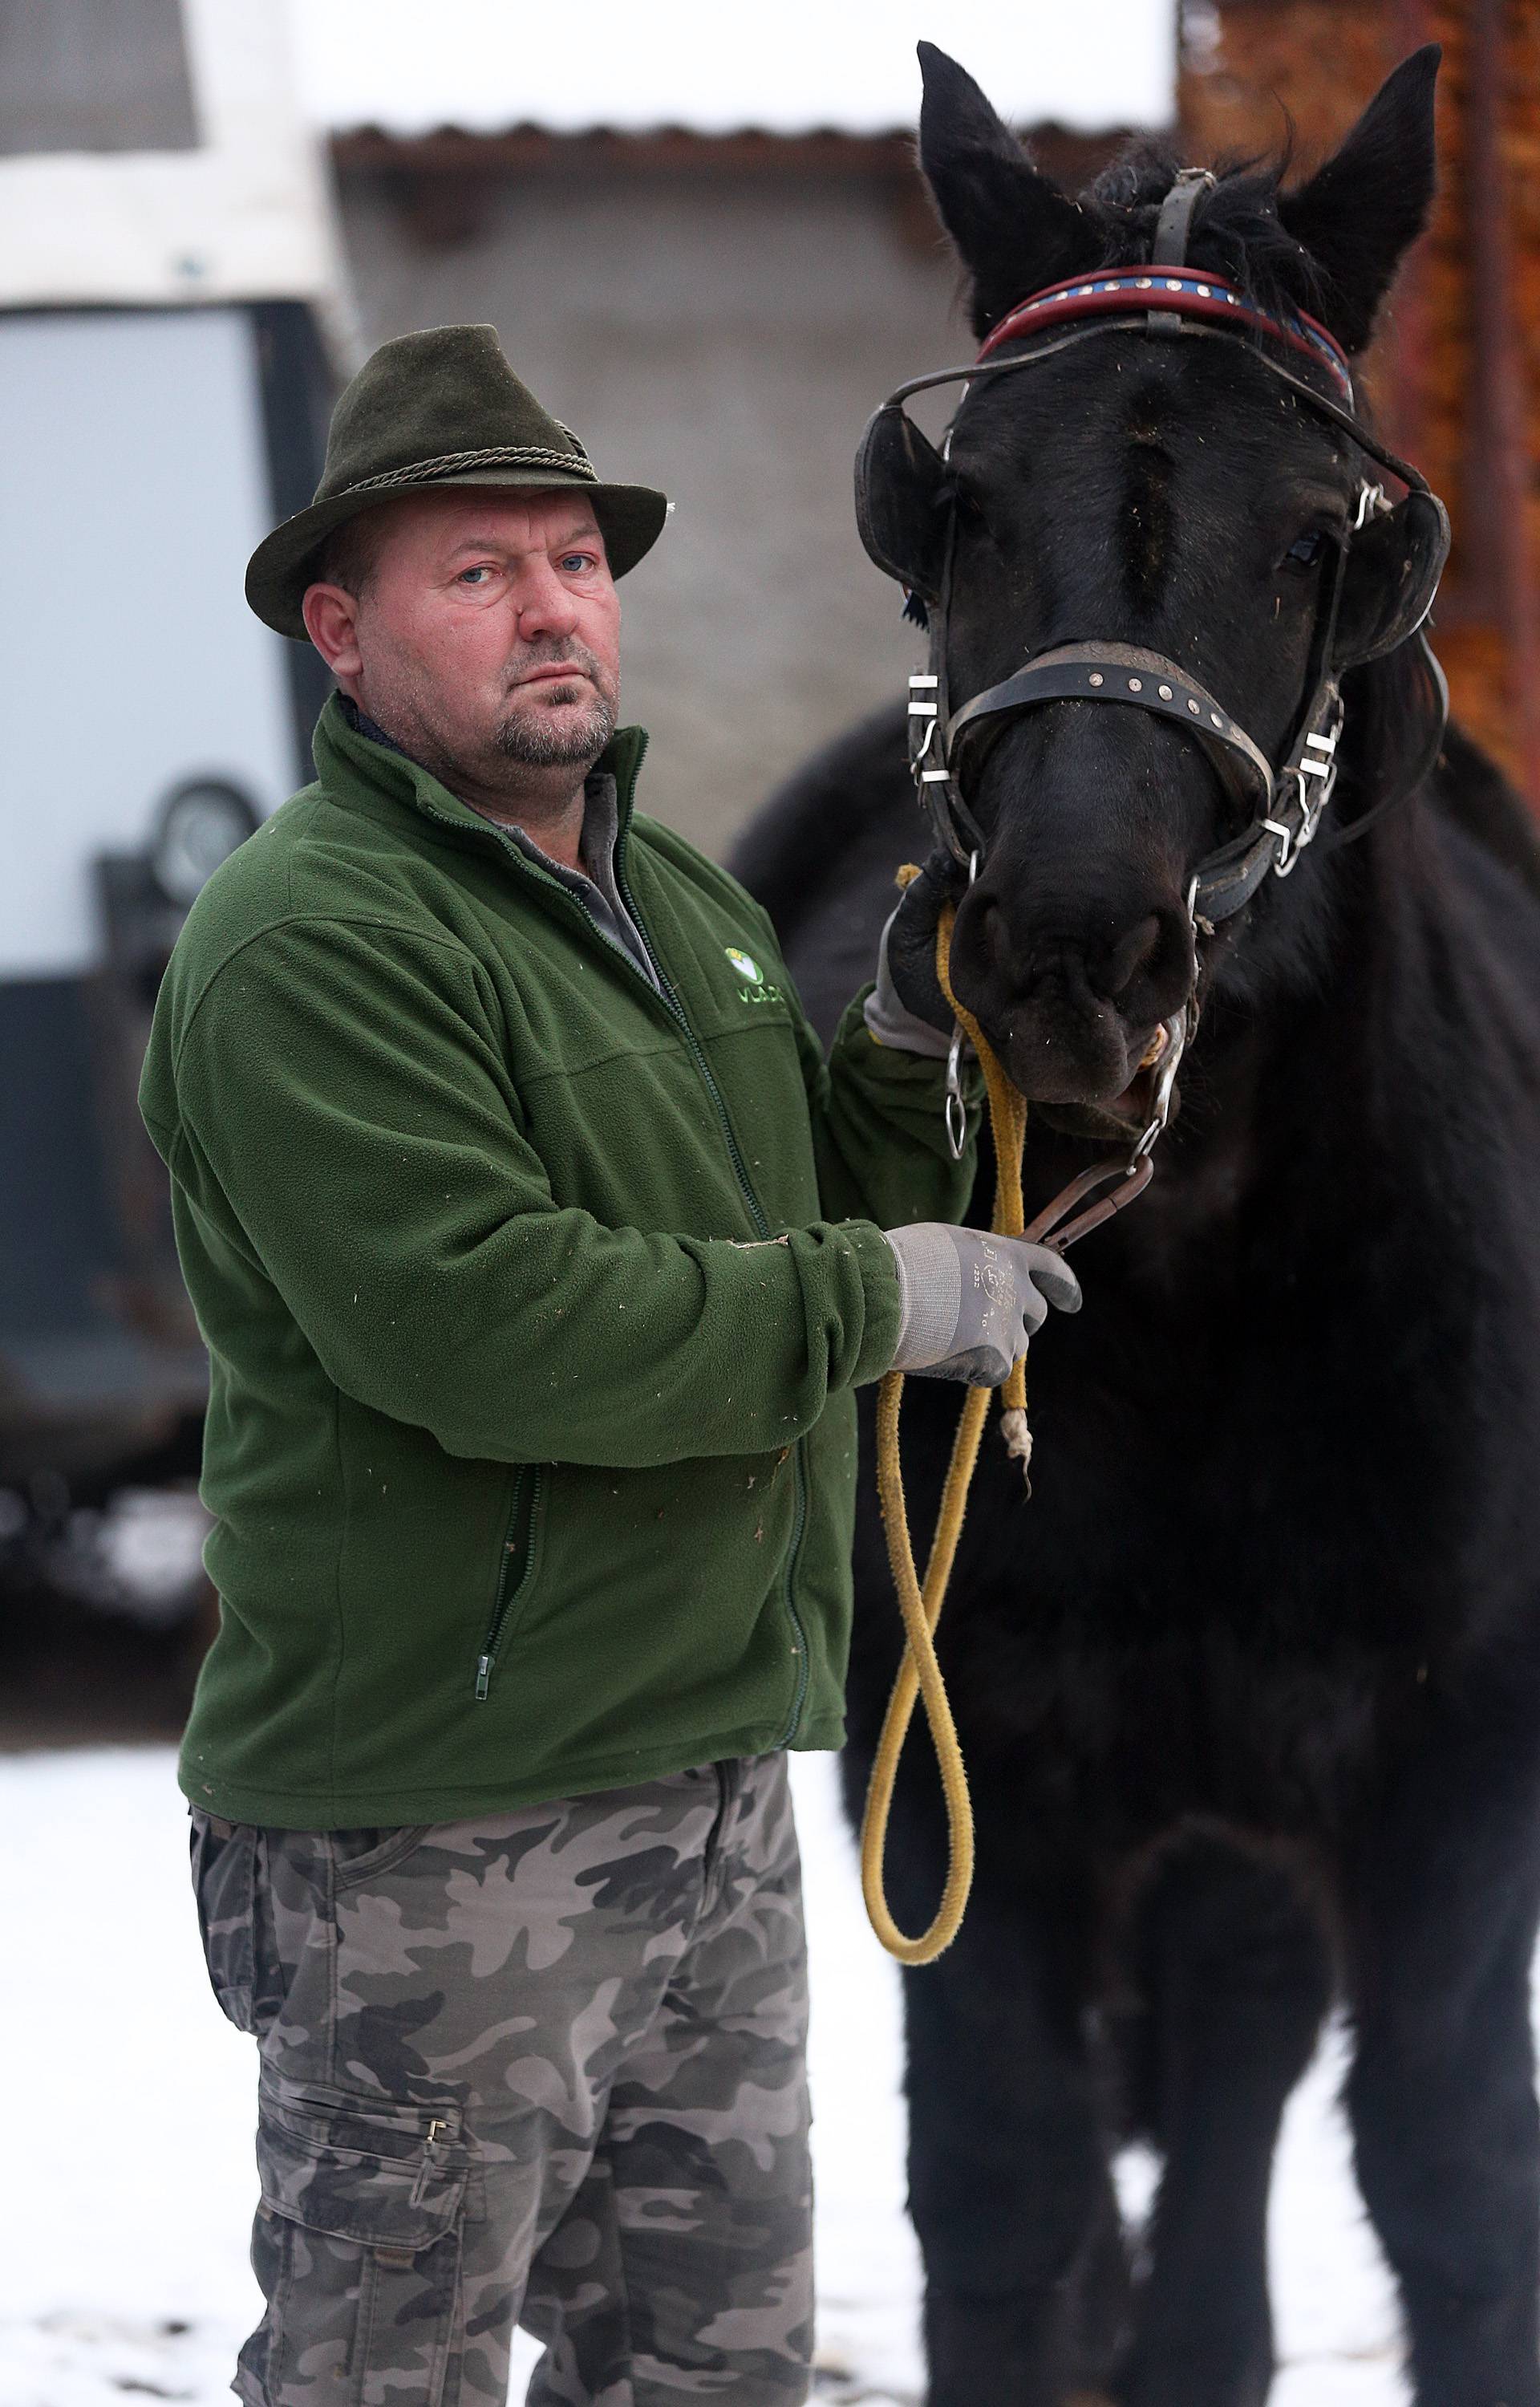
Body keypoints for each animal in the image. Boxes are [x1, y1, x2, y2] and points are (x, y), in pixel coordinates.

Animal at [727, 37, 1540, 2407]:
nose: (1071, 950)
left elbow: (1452, 2181)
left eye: (1324, 533)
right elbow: (1002, 2202)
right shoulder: (971, 1775)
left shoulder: (1456, 1780)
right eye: (964, 503)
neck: (1206, 1306)